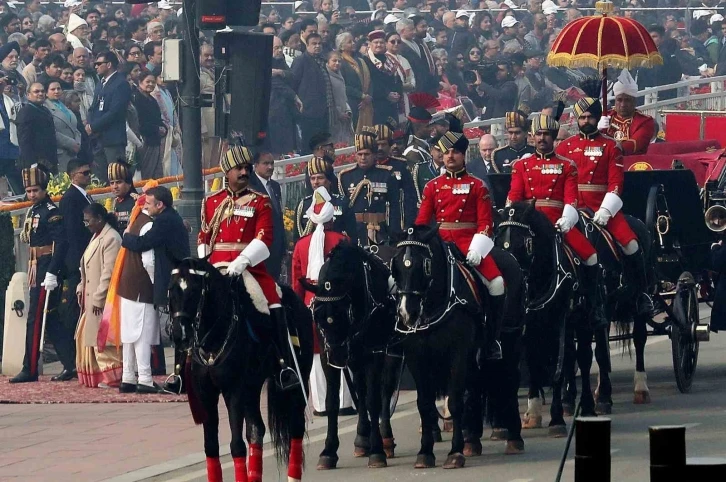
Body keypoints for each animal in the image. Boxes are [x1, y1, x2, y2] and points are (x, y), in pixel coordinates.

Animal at [171, 260, 316, 482]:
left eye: (194, 290)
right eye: (172, 290)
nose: (179, 334)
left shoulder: (234, 390)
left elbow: (236, 445)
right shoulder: (206, 393)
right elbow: (211, 447)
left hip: (297, 381)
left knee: (296, 425)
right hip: (252, 387)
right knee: (256, 429)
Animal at [300, 243, 404, 468]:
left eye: (344, 312)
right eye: (318, 316)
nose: (339, 357)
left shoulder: (374, 353)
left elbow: (374, 399)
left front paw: (377, 451)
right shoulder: (326, 356)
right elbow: (332, 401)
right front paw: (329, 451)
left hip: (391, 351)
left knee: (385, 390)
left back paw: (385, 438)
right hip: (356, 358)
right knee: (361, 390)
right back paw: (362, 438)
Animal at [396, 225, 528, 466]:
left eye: (425, 265)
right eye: (396, 266)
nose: (407, 313)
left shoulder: (457, 352)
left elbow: (456, 401)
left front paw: (455, 452)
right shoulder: (416, 357)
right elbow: (425, 404)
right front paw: (425, 452)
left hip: (511, 341)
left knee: (509, 381)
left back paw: (514, 437)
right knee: (475, 385)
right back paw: (473, 441)